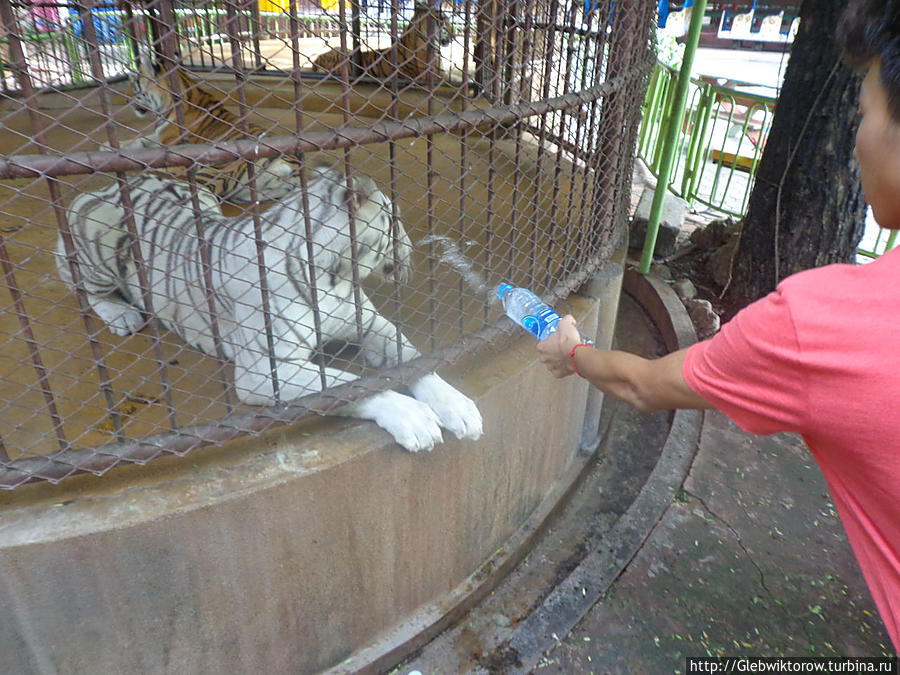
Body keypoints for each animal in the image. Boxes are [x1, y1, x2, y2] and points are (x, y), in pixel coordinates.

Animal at [57, 169, 486, 454]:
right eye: (394, 220)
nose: (412, 246)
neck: (336, 276)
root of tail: (108, 185)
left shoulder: (370, 324)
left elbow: (413, 359)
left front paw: (458, 407)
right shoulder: (265, 370)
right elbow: (343, 386)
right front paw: (414, 418)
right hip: (98, 243)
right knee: (89, 290)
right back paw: (122, 315)